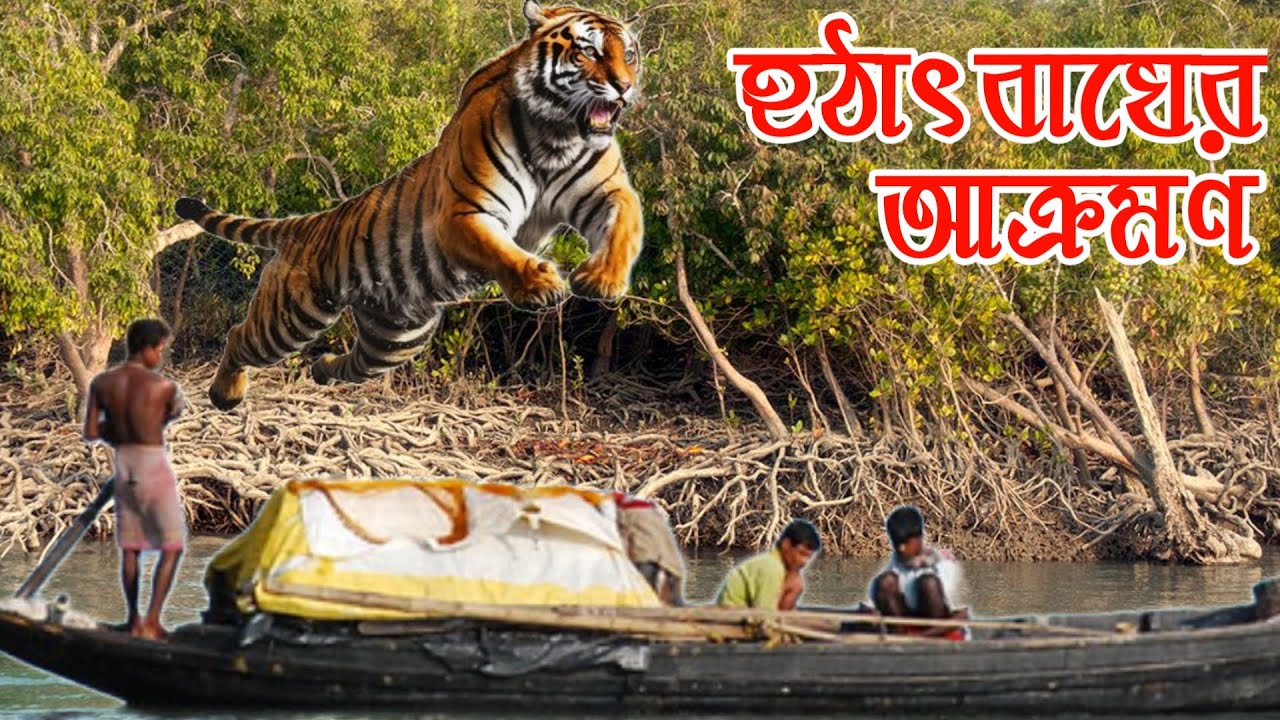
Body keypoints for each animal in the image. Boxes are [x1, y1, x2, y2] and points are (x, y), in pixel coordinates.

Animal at [174, 0, 643, 411]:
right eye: (588, 50)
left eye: (630, 54)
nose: (624, 86)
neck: (557, 136)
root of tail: (310, 223)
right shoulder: (463, 213)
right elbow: (502, 251)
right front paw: (540, 285)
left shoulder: (608, 191)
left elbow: (624, 227)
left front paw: (602, 280)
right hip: (291, 315)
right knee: (240, 335)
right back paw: (224, 395)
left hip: (396, 339)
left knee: (353, 364)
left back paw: (322, 370)